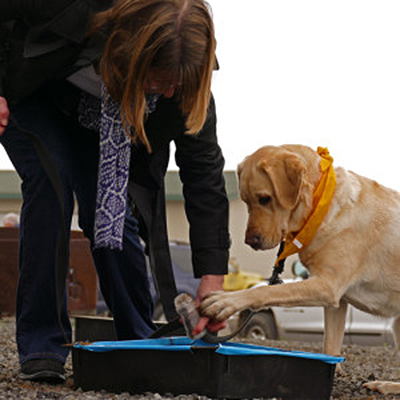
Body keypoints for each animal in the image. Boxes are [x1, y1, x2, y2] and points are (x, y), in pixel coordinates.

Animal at [200, 145, 400, 396]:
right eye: (245, 201)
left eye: (265, 199)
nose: (250, 241)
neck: (321, 205)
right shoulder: (336, 302)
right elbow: (329, 346)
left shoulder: (327, 286)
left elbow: (266, 291)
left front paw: (226, 301)